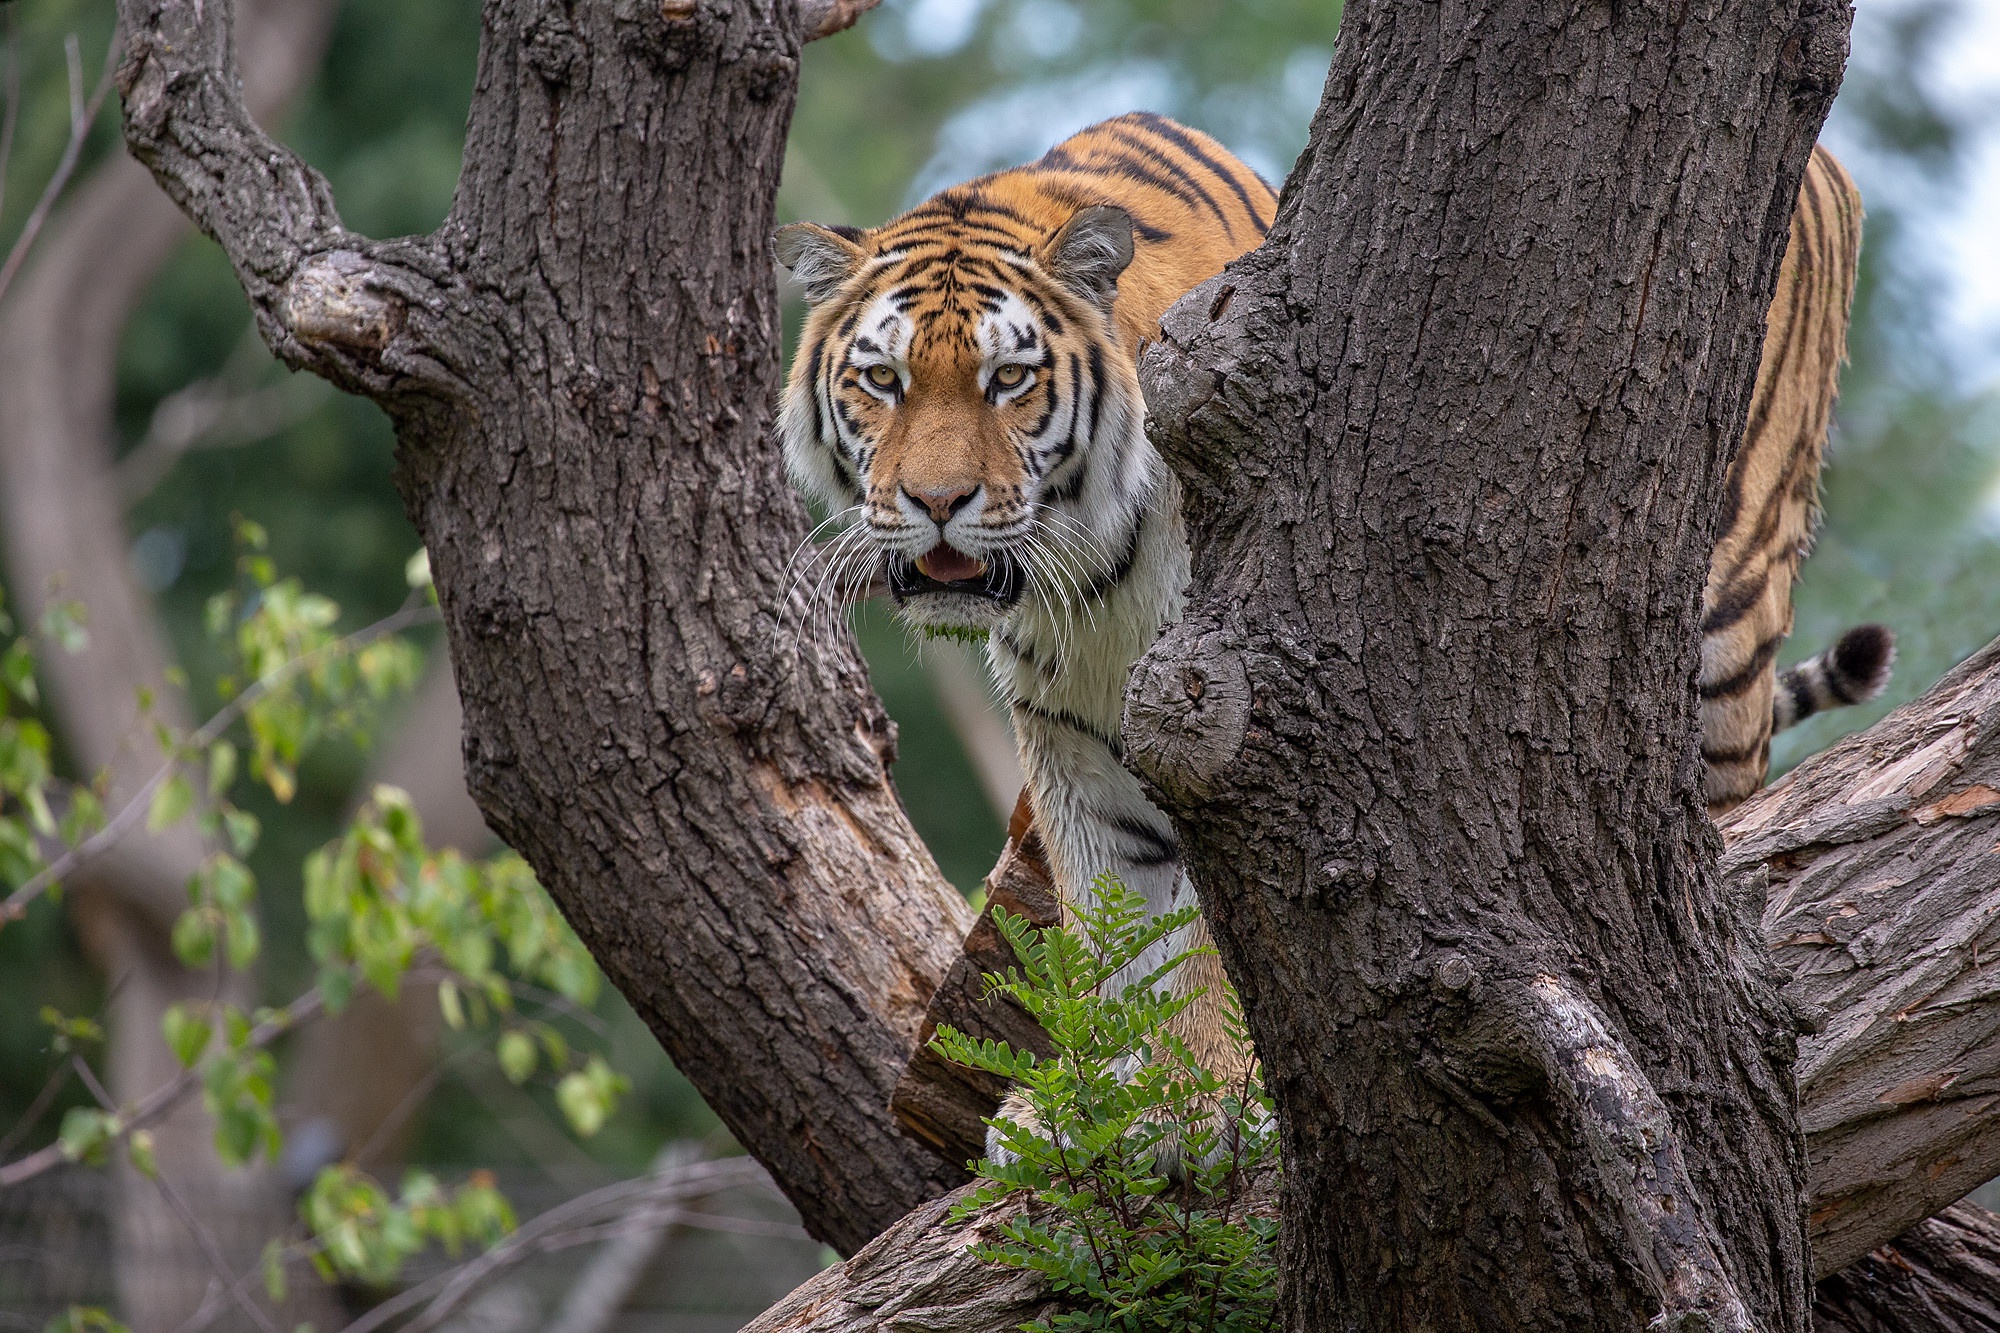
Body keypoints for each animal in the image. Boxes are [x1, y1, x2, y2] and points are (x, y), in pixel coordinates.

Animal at [776, 111, 1888, 1152]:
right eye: (881, 382)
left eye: (1008, 381)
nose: (935, 503)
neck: (1089, 570)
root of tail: (1833, 167)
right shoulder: (1076, 744)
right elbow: (1121, 937)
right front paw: (1112, 1107)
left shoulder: (1234, 728)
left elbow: (1218, 945)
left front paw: (1208, 1103)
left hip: (1726, 624)